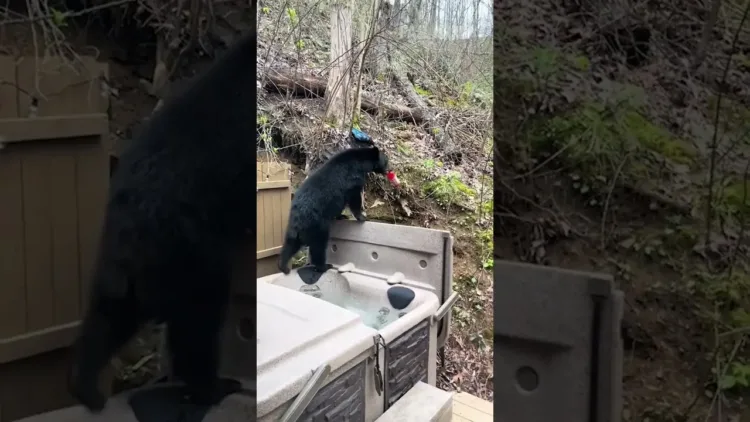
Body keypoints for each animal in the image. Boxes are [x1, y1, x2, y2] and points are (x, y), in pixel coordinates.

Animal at [70, 32, 258, 412]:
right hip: (191, 252)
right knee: (199, 321)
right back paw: (213, 386)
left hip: (123, 268)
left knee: (106, 319)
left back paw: (87, 388)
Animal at [280, 147, 390, 276]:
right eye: (386, 161)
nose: (390, 170)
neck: (361, 161)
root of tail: (298, 219)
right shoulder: (353, 178)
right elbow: (354, 197)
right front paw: (362, 216)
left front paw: (342, 216)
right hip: (317, 225)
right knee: (318, 246)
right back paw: (324, 266)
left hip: (294, 230)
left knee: (290, 245)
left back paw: (283, 267)